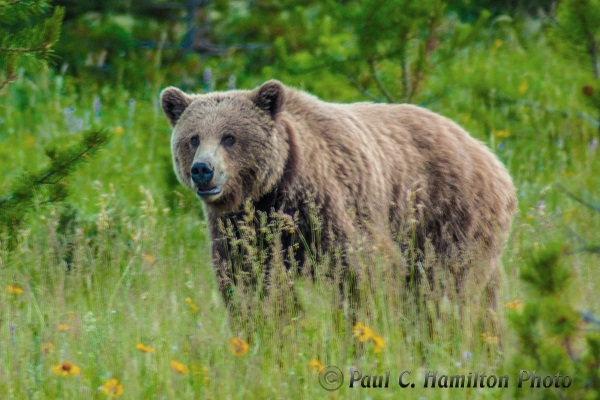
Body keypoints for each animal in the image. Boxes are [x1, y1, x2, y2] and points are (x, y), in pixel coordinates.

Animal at [159, 82, 516, 316]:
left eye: (230, 137)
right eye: (193, 138)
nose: (203, 170)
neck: (271, 193)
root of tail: (492, 158)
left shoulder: (330, 206)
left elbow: (365, 272)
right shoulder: (239, 229)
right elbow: (246, 282)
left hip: (448, 214)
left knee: (447, 287)